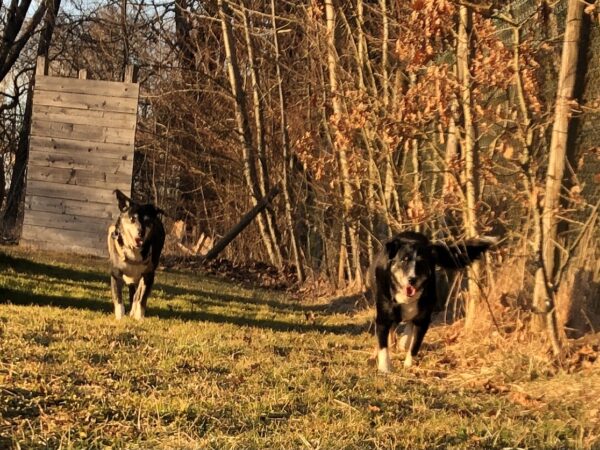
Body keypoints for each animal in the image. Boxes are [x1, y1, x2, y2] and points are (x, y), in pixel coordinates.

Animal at [107, 190, 165, 320]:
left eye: (147, 220)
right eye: (132, 219)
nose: (141, 232)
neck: (133, 251)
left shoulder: (148, 275)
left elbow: (141, 298)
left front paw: (139, 316)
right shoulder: (116, 273)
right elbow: (118, 296)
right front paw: (120, 316)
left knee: (137, 294)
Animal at [369, 231, 496, 372]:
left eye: (422, 262)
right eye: (404, 260)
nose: (412, 279)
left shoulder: (423, 319)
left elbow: (415, 344)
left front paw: (409, 364)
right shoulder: (383, 317)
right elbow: (383, 346)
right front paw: (385, 367)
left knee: (408, 327)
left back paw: (404, 341)